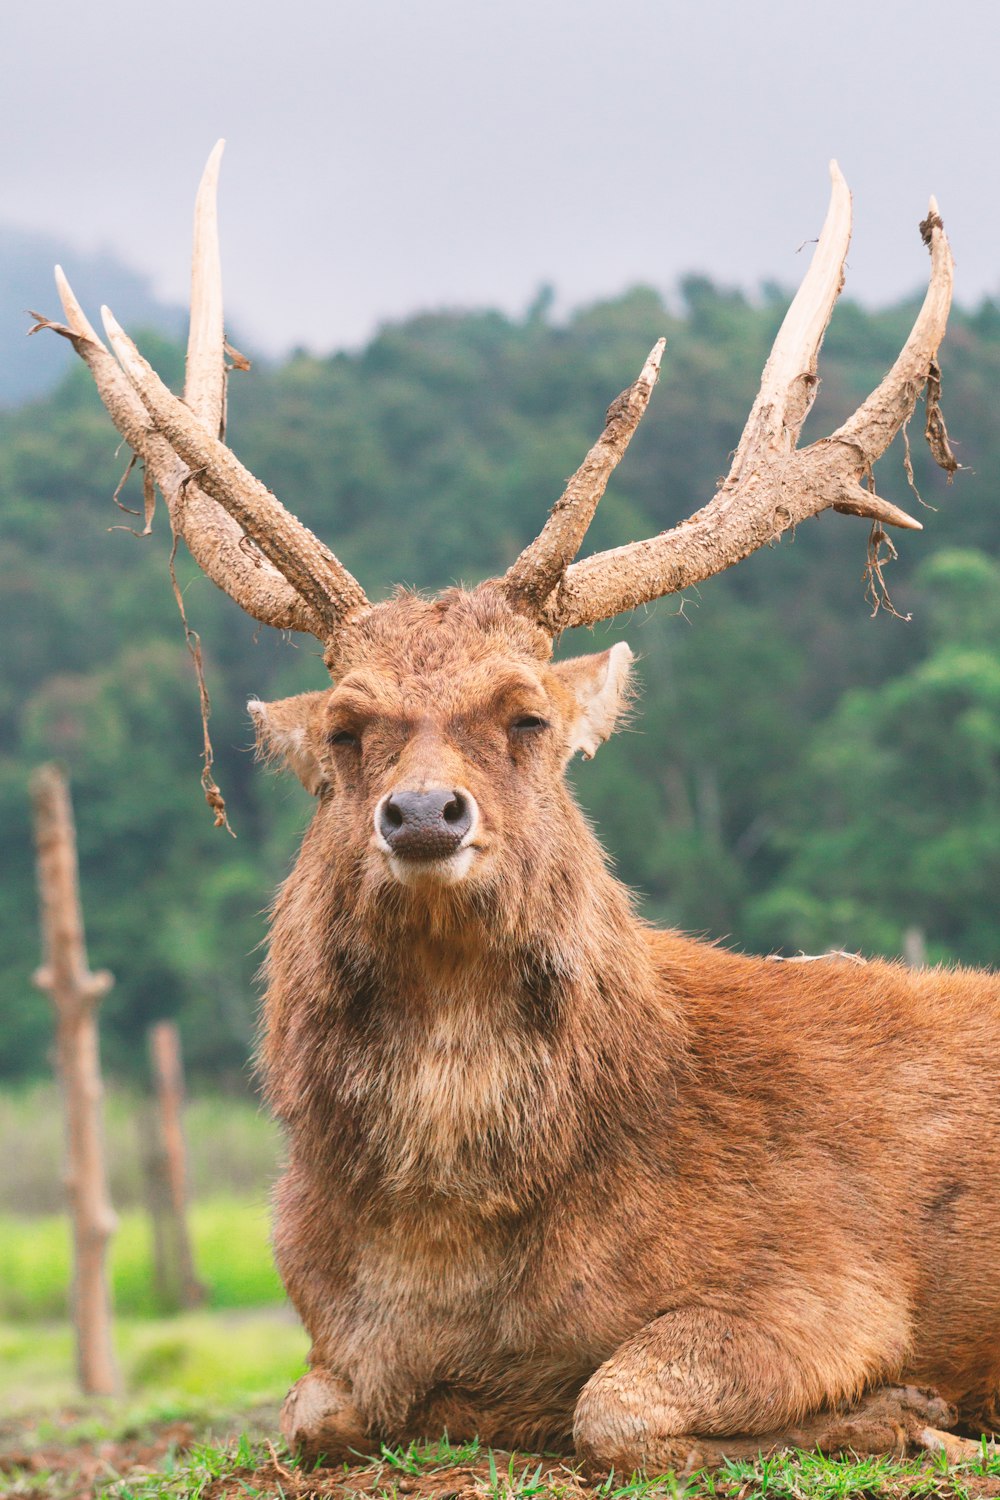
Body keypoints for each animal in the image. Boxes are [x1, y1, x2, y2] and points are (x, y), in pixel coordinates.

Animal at [43, 141, 1000, 1476]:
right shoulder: (327, 1353)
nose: (424, 815)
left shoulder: (832, 1276)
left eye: (528, 716)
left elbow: (615, 1401)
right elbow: (314, 1417)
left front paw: (900, 1413)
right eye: (345, 729)